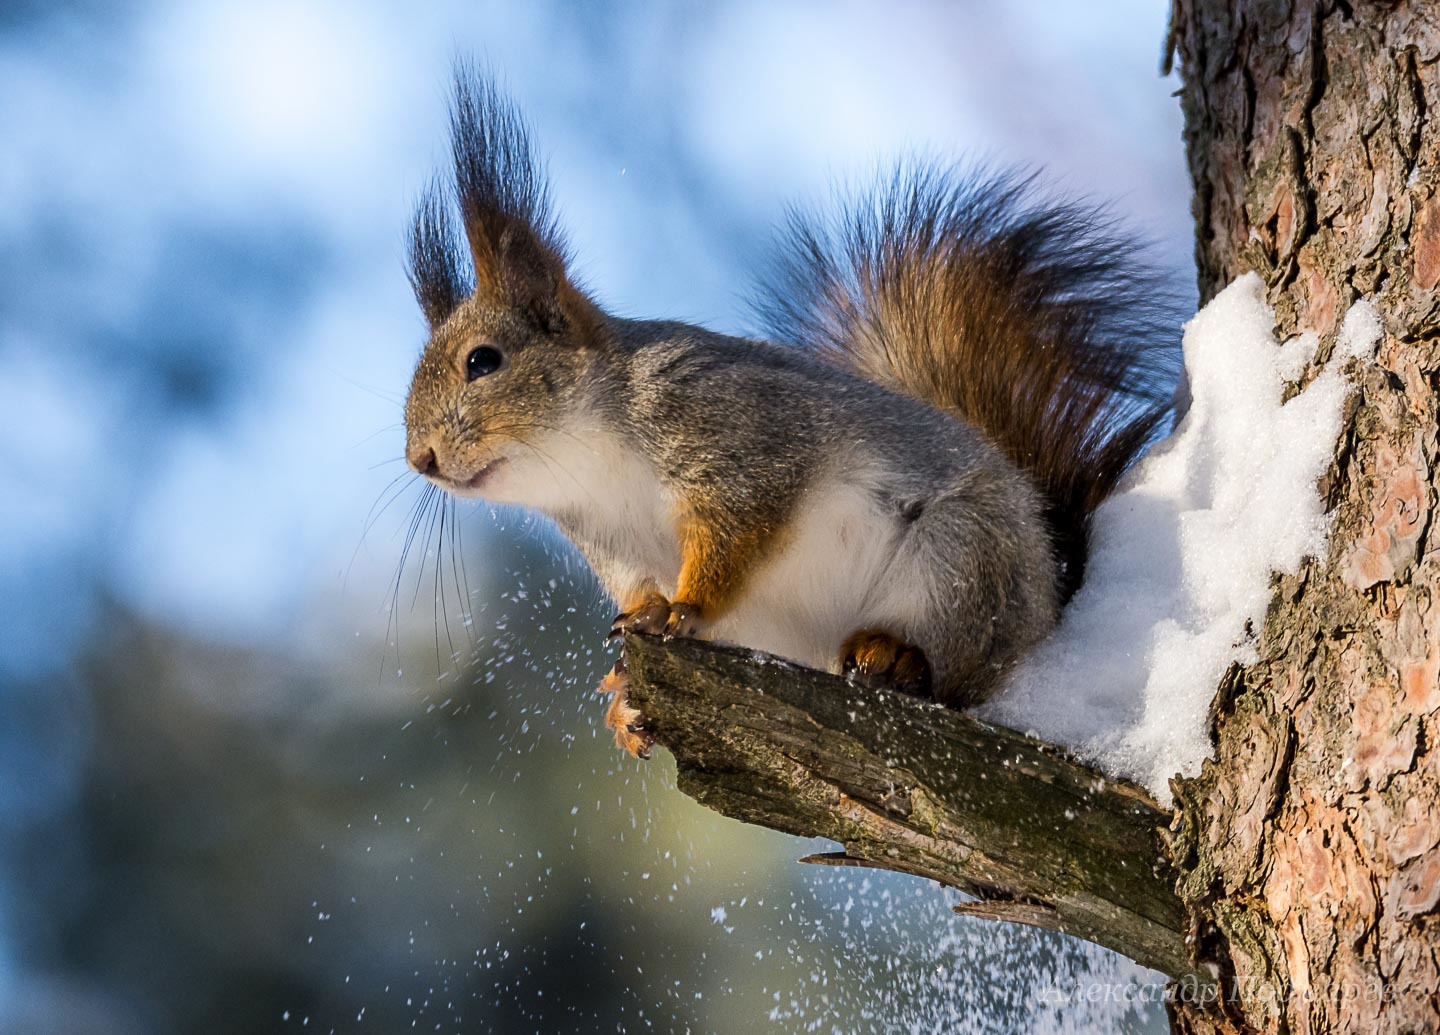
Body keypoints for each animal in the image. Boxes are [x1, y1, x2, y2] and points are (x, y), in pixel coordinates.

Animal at [400, 68, 1175, 754]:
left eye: (483, 361)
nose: (421, 460)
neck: (589, 459)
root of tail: (1051, 590)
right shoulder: (617, 549)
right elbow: (640, 598)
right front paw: (625, 689)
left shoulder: (738, 438)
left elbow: (739, 531)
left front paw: (687, 609)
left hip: (960, 559)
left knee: (959, 673)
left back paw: (896, 655)